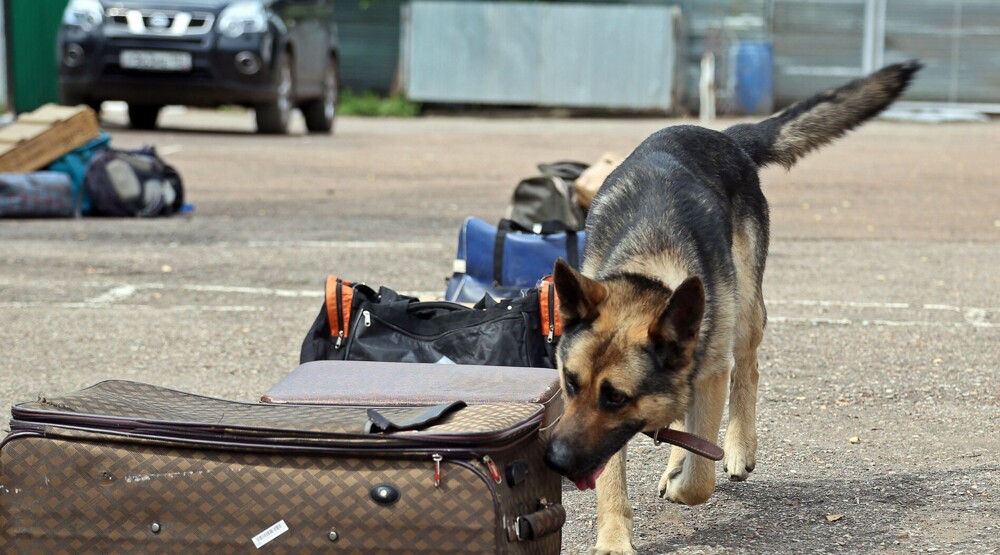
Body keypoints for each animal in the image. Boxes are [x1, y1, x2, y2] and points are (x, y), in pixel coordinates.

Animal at [548, 62, 920, 555]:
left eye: (616, 398)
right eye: (570, 384)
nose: (556, 460)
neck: (653, 270)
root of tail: (724, 136)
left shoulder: (709, 374)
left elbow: (700, 479)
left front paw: (687, 477)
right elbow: (615, 476)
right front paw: (613, 537)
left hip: (744, 313)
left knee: (747, 370)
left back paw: (738, 447)